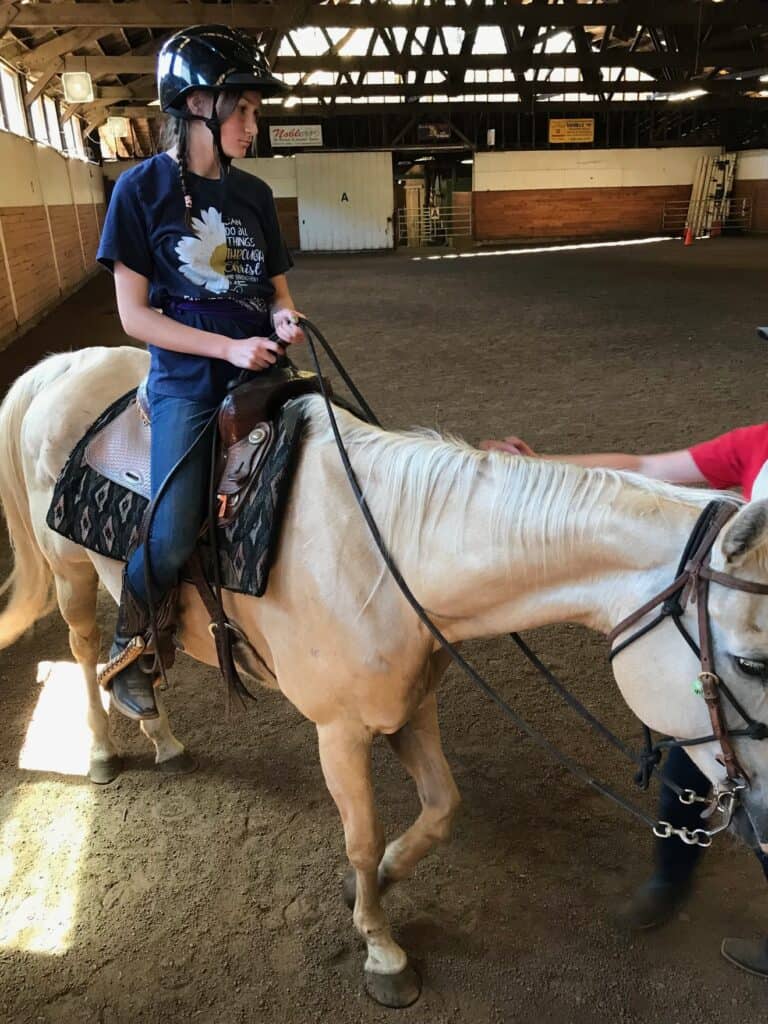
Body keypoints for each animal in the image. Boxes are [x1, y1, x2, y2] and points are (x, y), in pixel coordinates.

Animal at [1, 348, 768, 1003]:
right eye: (752, 661)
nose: (762, 818)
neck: (390, 551)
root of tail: (61, 365)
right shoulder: (340, 731)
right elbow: (361, 837)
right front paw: (383, 951)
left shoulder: (410, 705)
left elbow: (440, 807)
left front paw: (381, 880)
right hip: (70, 572)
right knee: (84, 650)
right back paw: (102, 750)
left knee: (139, 652)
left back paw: (160, 734)